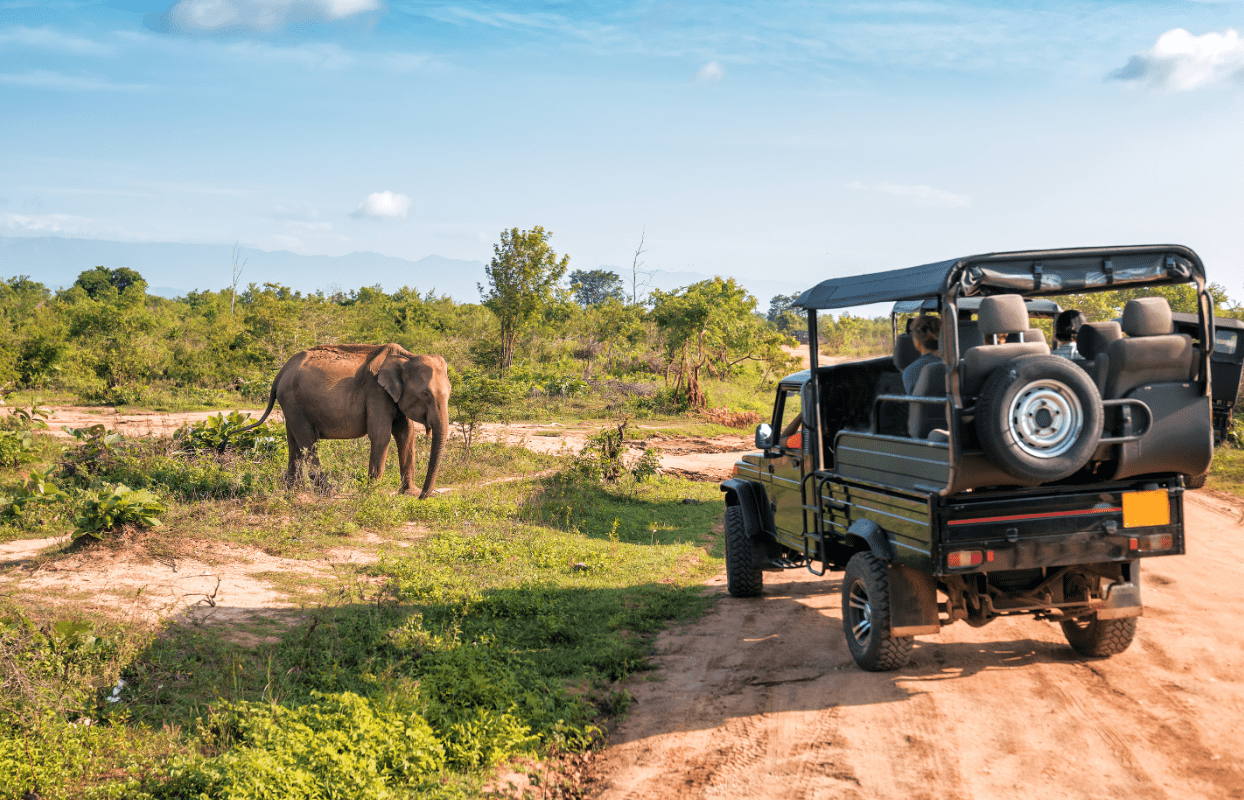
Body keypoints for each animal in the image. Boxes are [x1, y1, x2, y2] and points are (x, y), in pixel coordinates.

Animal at [229, 343, 450, 498]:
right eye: (426, 395)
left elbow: (406, 434)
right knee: (308, 442)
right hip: (294, 402)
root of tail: (280, 373)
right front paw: (373, 493)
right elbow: (381, 435)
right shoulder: (376, 392)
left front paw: (409, 493)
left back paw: (293, 490)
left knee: (294, 443)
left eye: (450, 393)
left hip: (291, 404)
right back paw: (327, 491)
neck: (406, 357)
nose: (423, 496)